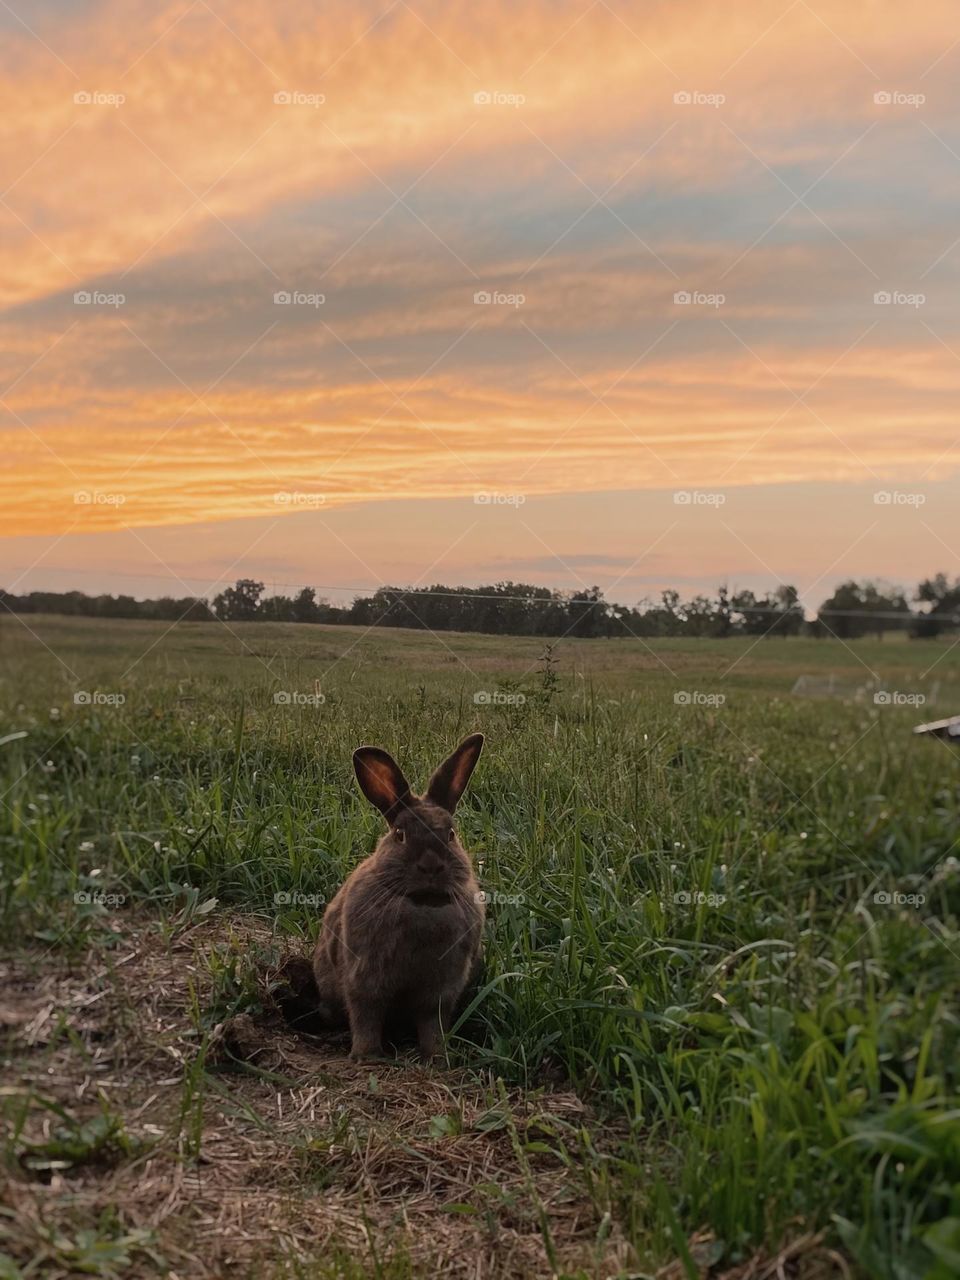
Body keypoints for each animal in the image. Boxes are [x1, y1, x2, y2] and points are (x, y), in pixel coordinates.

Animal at [312, 733, 485, 1061]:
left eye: (451, 835)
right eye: (400, 834)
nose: (431, 866)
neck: (422, 905)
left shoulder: (440, 992)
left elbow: (432, 1025)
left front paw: (438, 1058)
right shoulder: (364, 980)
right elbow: (365, 1017)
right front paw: (366, 1056)